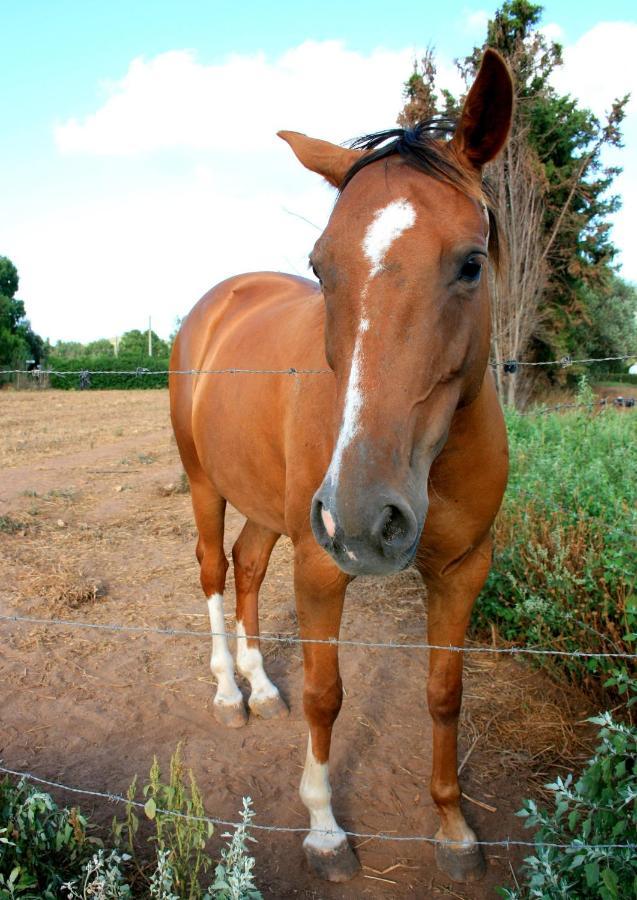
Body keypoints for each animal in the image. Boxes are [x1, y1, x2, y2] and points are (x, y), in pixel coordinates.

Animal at [171, 47, 516, 880]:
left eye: (469, 264)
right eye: (321, 267)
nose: (364, 519)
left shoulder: (462, 568)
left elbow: (444, 693)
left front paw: (453, 829)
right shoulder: (322, 568)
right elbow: (327, 694)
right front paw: (325, 829)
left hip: (273, 510)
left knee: (246, 565)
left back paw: (261, 685)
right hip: (206, 485)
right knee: (211, 569)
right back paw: (228, 691)